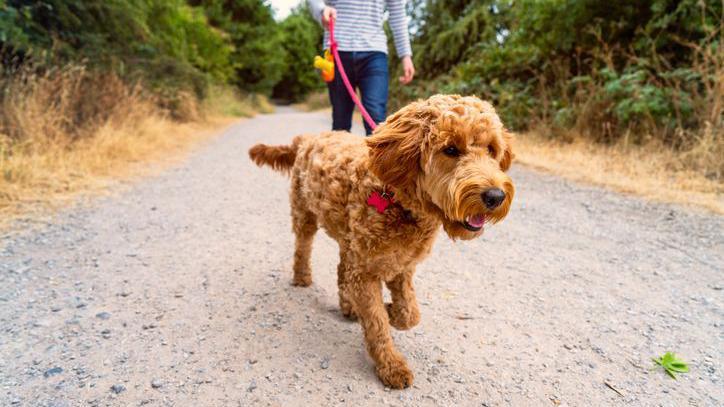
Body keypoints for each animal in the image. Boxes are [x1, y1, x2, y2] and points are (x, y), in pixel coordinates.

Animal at [249, 95, 516, 388]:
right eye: (450, 149)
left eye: (491, 149)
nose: (495, 196)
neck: (397, 200)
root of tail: (307, 138)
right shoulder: (366, 272)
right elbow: (377, 323)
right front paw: (391, 365)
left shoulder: (402, 267)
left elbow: (410, 315)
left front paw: (390, 311)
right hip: (305, 212)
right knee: (303, 246)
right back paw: (302, 277)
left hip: (349, 241)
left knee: (342, 269)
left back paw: (348, 305)